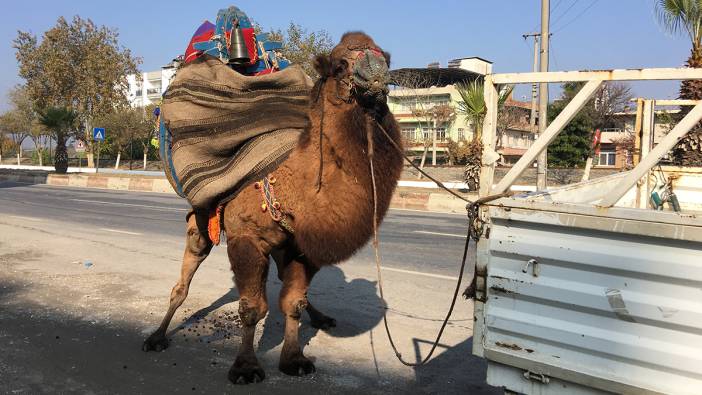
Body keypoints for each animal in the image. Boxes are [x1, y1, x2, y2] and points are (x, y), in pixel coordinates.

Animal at [143, 32, 404, 386]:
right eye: (340, 64)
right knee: (186, 271)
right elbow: (252, 307)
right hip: (202, 219)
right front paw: (245, 367)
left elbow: (293, 303)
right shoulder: (246, 239)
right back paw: (156, 336)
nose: (377, 73)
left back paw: (321, 317)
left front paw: (295, 360)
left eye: (385, 57)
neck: (292, 182)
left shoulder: (302, 247)